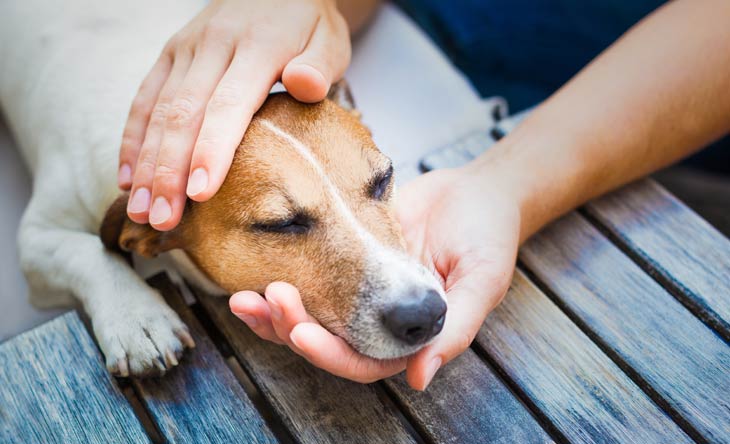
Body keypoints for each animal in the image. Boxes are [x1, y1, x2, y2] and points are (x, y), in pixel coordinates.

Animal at [1, 0, 444, 378]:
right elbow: (87, 252)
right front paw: (137, 318)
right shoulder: (37, 239)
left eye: (383, 179)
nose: (424, 313)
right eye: (281, 224)